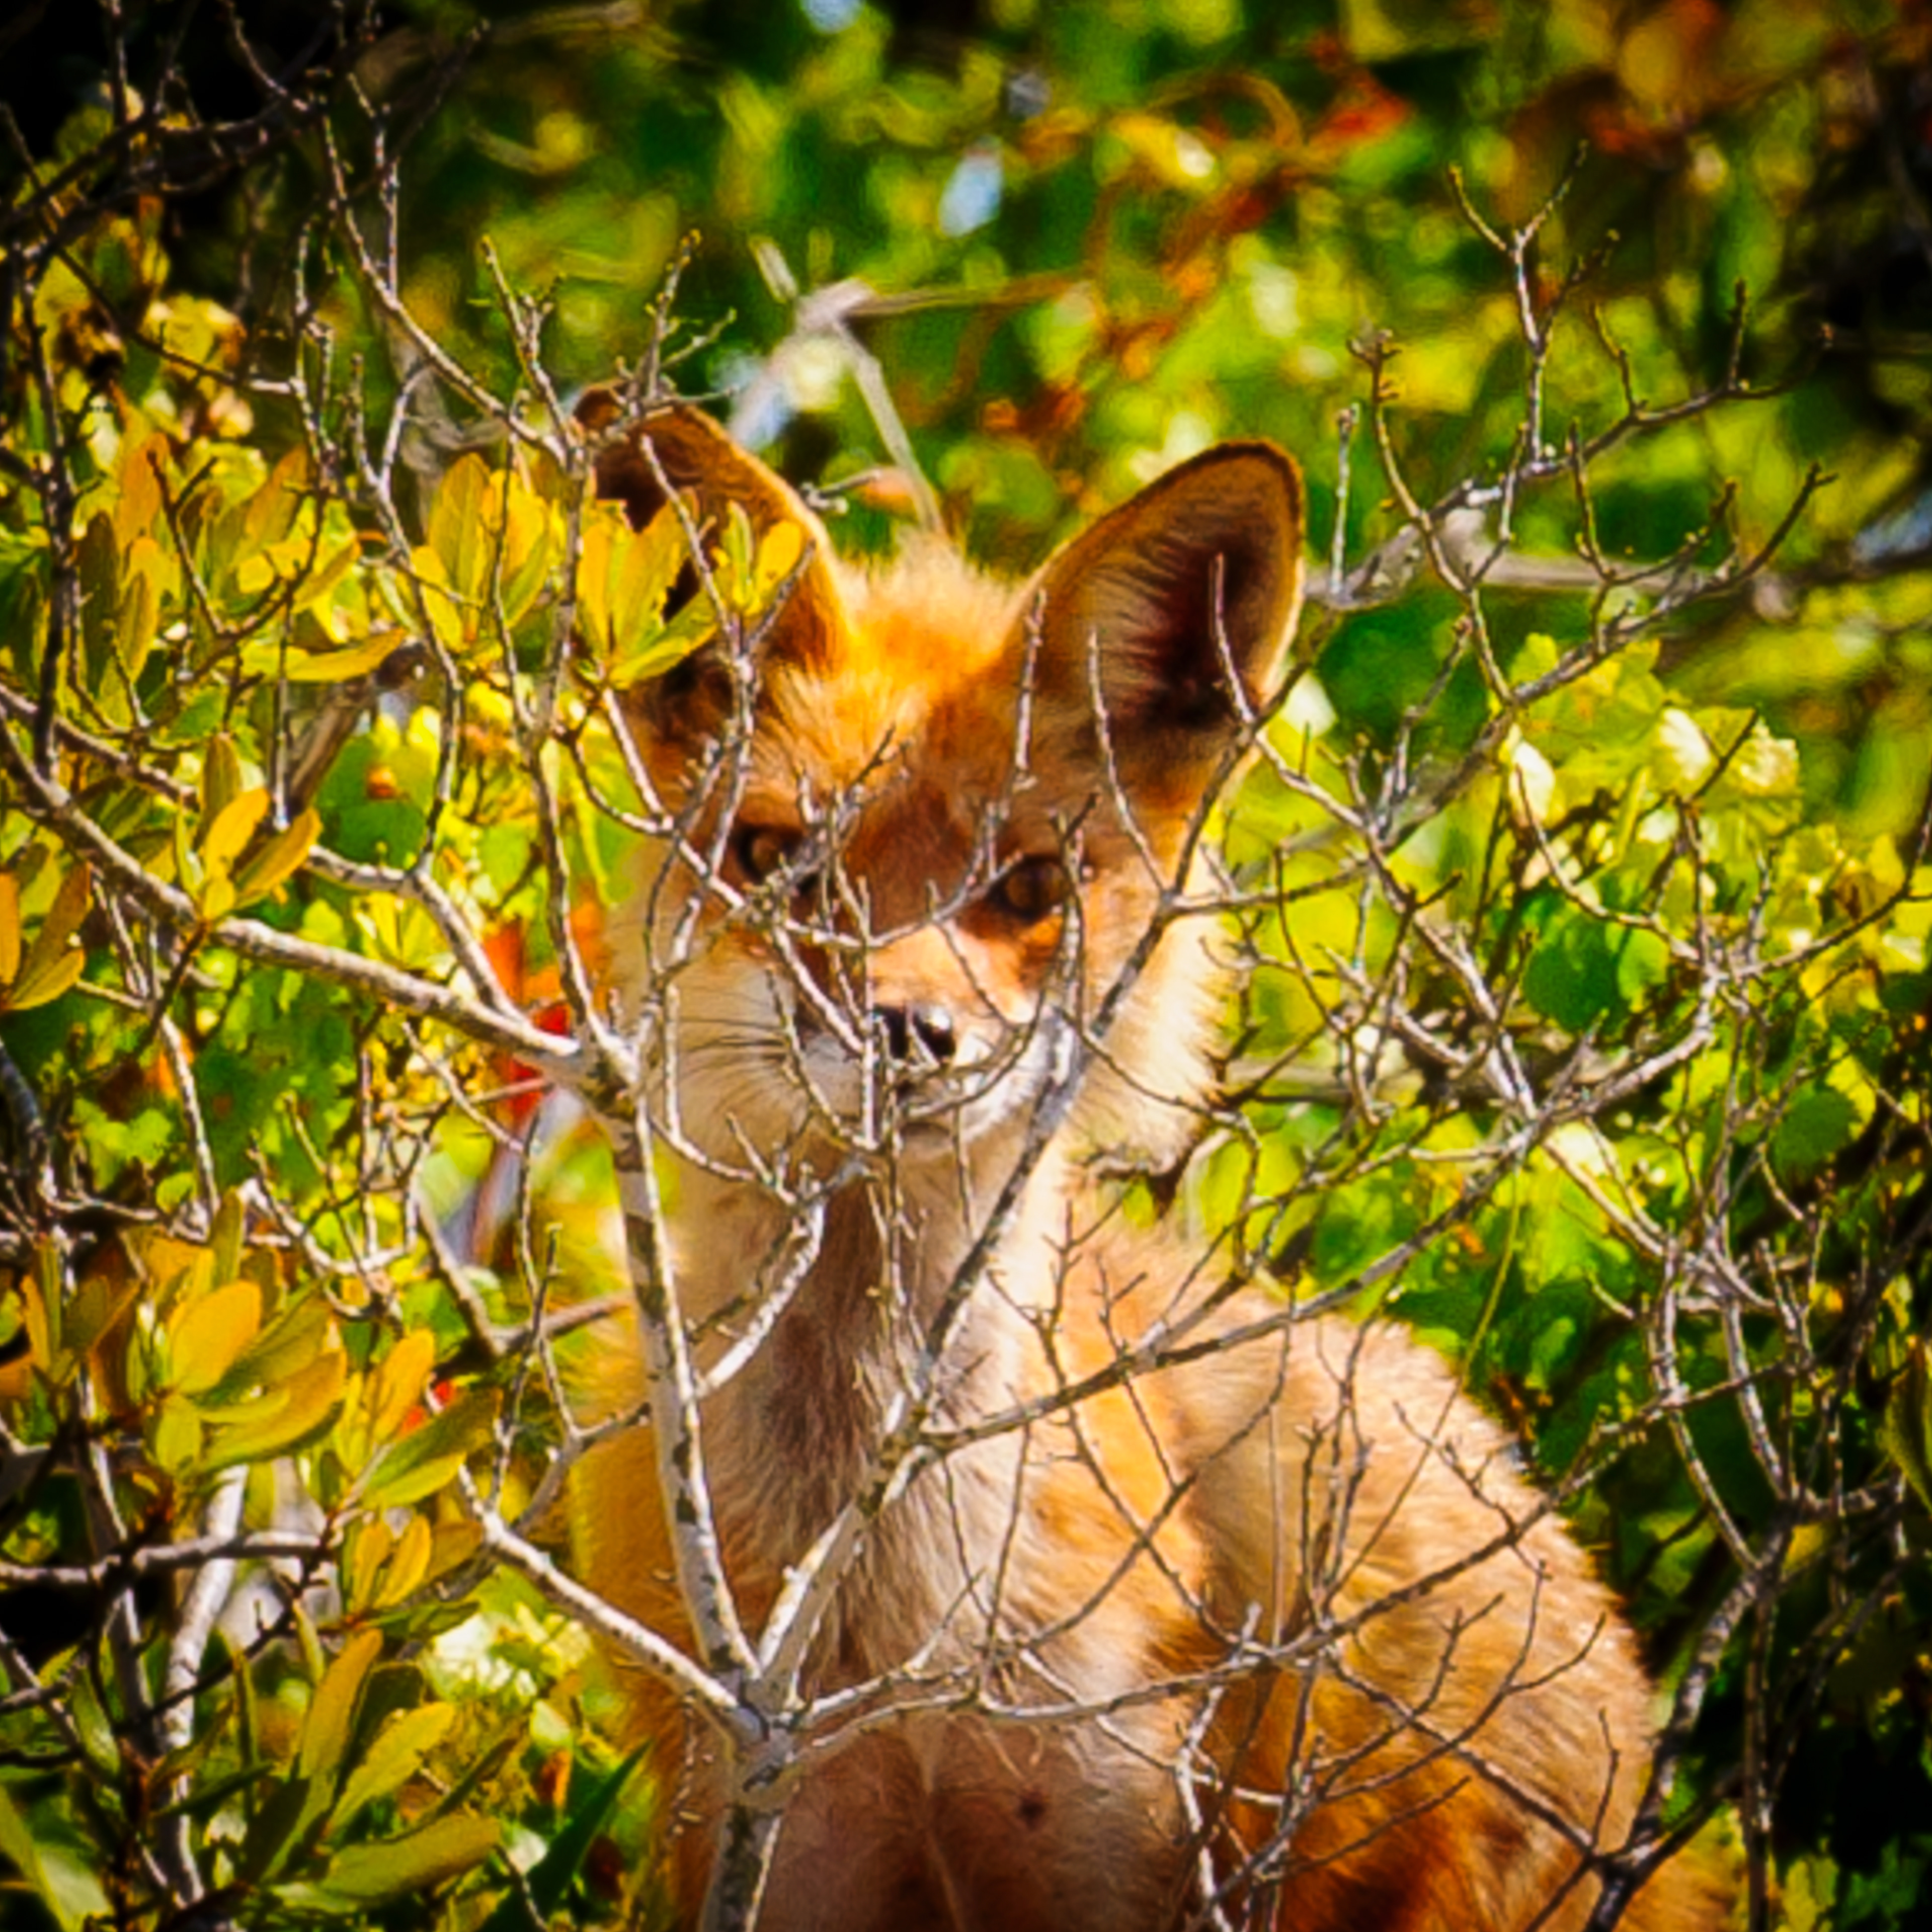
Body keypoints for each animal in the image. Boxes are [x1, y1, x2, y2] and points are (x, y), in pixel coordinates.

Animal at [567, 396, 1734, 1932]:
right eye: (776, 862)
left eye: (1030, 888)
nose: (908, 1035)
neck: (885, 1633)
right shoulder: (772, 1838)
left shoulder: (1117, 1835)